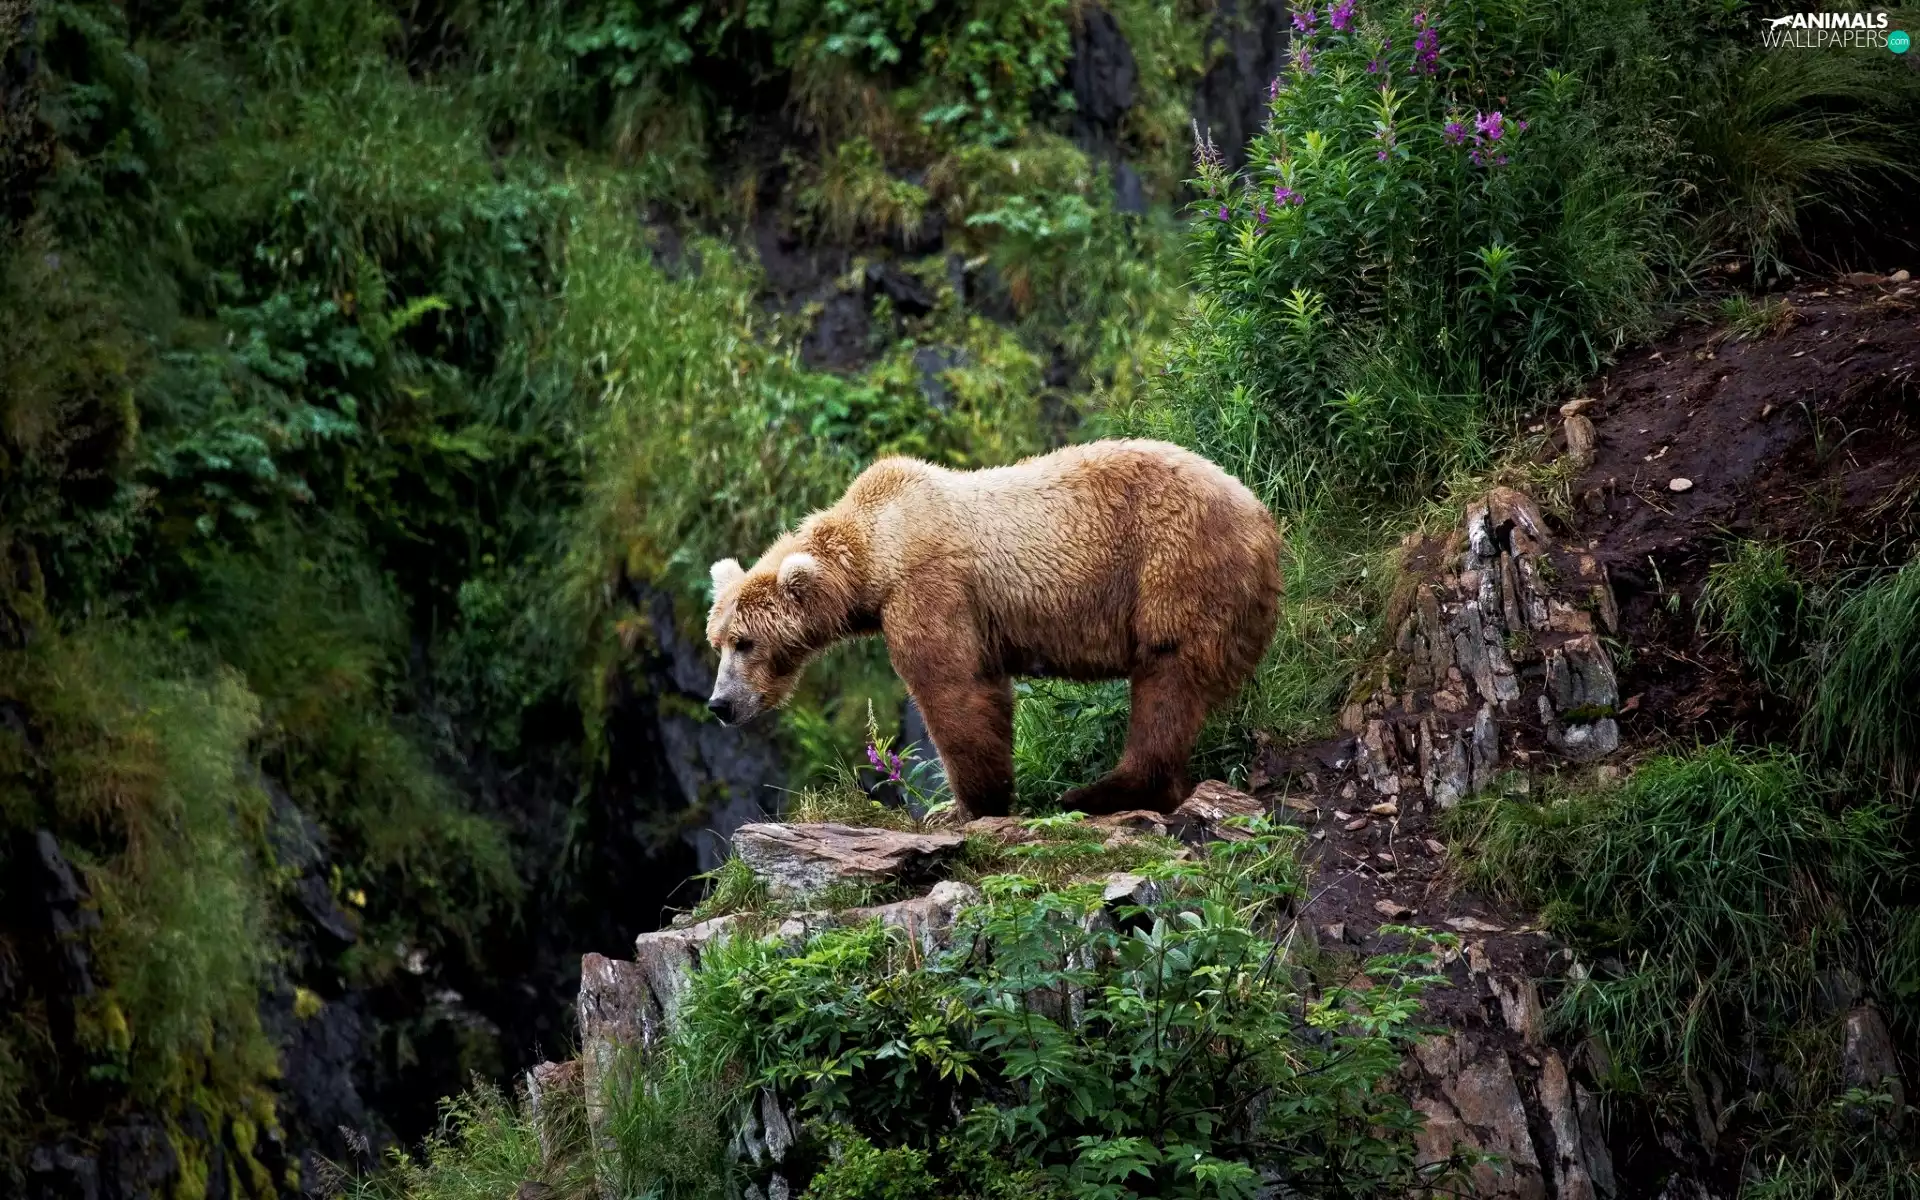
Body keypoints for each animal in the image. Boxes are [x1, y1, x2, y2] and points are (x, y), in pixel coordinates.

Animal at [703, 438, 1282, 818]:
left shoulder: (929, 587)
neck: (875, 553)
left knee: (1168, 677)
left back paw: (1097, 792)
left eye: (745, 642)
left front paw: (968, 804)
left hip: (1175, 562)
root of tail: (1262, 517)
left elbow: (953, 688)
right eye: (718, 643)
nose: (720, 704)